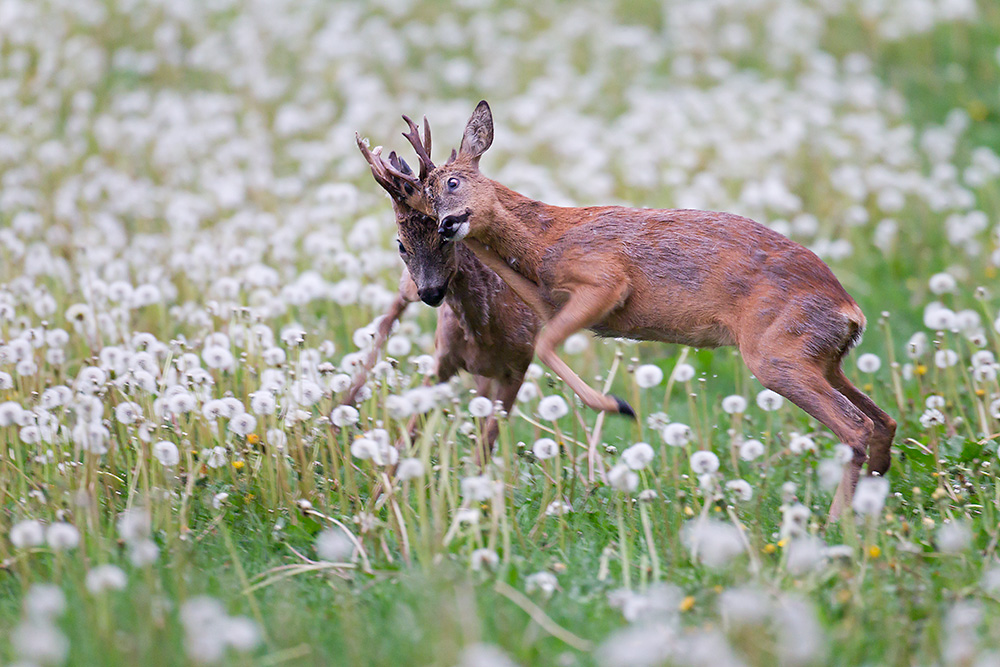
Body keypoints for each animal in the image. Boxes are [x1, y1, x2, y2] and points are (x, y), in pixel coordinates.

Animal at [348, 120, 544, 462]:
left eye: (444, 237)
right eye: (400, 244)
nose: (431, 292)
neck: (484, 333)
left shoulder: (518, 367)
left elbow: (484, 448)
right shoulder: (441, 360)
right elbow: (409, 437)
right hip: (407, 289)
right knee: (386, 324)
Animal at [414, 100, 900, 516]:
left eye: (453, 182)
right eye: (426, 203)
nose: (448, 223)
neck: (545, 242)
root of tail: (850, 310)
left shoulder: (605, 280)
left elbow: (549, 344)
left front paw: (618, 405)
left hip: (776, 353)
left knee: (856, 426)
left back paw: (838, 523)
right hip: (822, 358)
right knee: (884, 421)